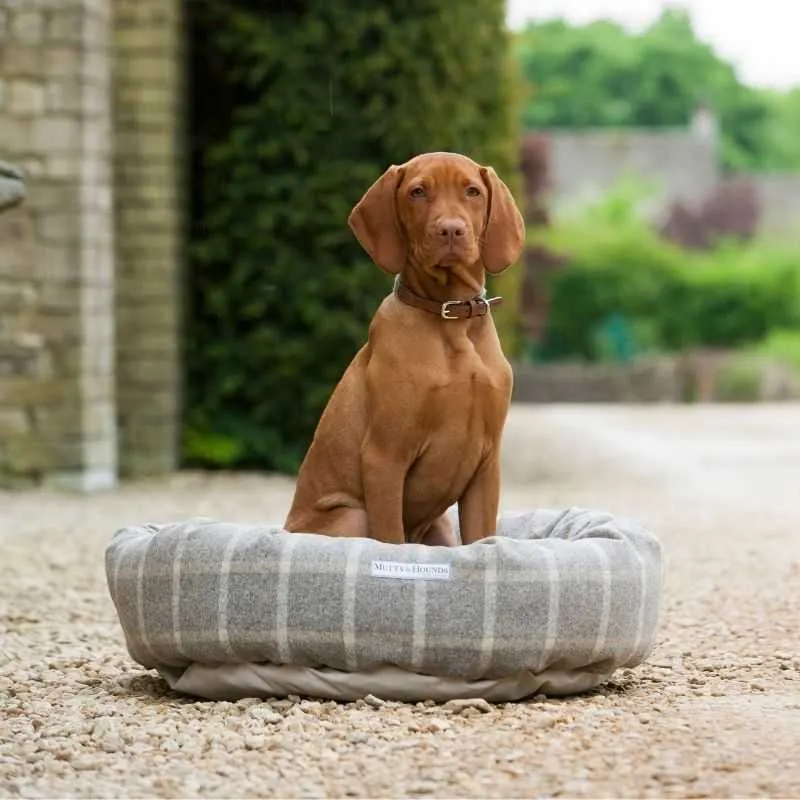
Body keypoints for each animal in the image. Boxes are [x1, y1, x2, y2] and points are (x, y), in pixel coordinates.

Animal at [282, 152, 524, 544]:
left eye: (472, 191)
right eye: (418, 192)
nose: (451, 230)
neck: (450, 318)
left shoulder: (487, 464)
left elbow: (480, 538)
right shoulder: (384, 457)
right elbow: (391, 538)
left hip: (440, 527)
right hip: (353, 516)